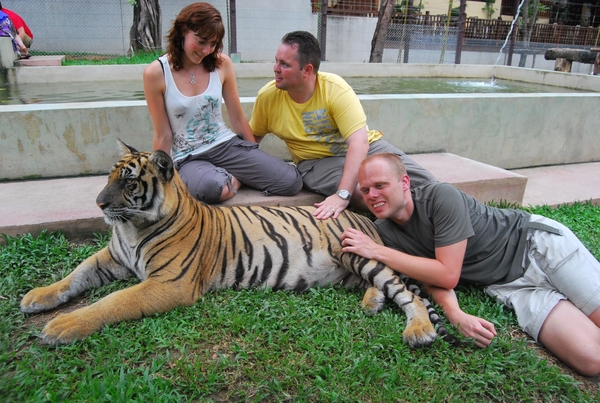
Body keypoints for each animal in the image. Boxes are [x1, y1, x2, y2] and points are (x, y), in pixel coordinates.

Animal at [19, 143, 446, 350]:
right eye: (109, 175)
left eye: (128, 180)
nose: (99, 204)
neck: (132, 229)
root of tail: (364, 218)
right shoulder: (112, 257)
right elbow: (75, 275)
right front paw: (37, 297)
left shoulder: (169, 283)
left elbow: (113, 301)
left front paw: (64, 325)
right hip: (351, 270)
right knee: (384, 286)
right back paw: (371, 302)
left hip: (357, 253)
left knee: (408, 293)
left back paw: (419, 330)